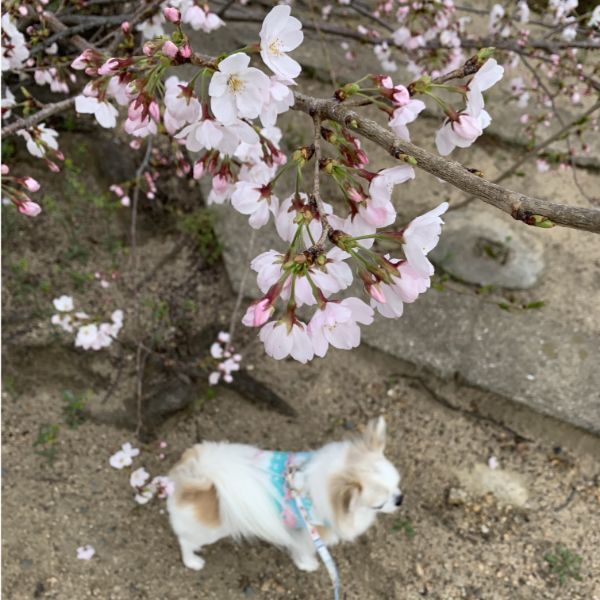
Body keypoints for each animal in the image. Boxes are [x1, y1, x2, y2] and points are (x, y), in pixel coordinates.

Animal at [166, 418, 404, 572]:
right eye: (379, 504)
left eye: (398, 486)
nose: (400, 499)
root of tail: (198, 474)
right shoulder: (309, 534)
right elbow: (305, 551)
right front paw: (307, 565)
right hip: (208, 532)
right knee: (185, 542)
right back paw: (192, 561)